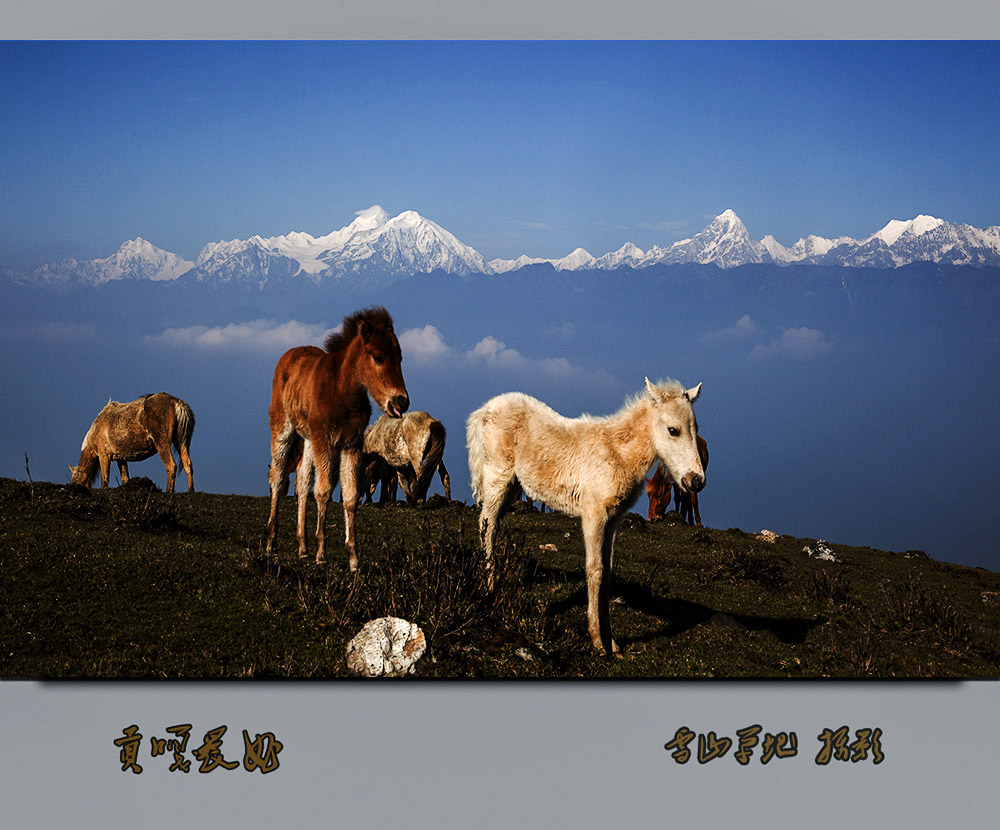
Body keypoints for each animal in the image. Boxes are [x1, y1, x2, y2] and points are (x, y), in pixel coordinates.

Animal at [266, 308, 410, 572]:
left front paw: (353, 558)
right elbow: (323, 491)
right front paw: (321, 553)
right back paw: (271, 542)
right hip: (283, 429)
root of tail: (289, 354)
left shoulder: (350, 444)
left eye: (400, 357)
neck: (342, 391)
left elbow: (351, 496)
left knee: (302, 481)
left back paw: (302, 547)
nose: (401, 402)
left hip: (308, 440)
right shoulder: (325, 440)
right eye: (378, 357)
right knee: (279, 477)